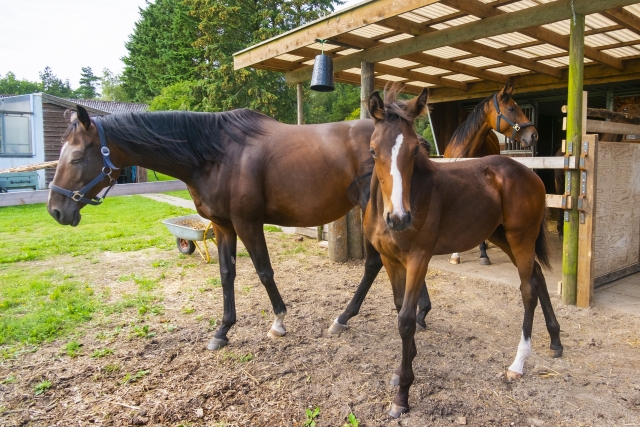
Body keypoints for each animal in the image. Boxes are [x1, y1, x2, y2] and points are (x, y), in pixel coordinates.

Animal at [47, 104, 432, 352]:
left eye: (77, 157)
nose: (56, 209)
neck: (215, 155)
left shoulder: (248, 223)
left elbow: (263, 271)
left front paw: (278, 322)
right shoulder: (222, 226)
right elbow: (226, 274)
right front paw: (222, 331)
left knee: (374, 263)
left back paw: (345, 317)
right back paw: (418, 312)